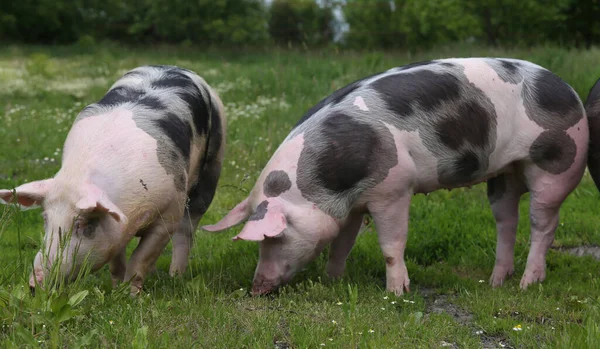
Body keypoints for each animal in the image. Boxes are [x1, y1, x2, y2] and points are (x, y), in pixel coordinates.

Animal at [0, 65, 225, 294]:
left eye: (84, 224)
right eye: (45, 218)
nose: (35, 283)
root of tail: (177, 68)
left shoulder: (170, 212)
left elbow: (141, 257)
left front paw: (131, 295)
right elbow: (117, 259)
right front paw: (117, 289)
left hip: (213, 163)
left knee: (186, 230)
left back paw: (175, 277)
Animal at [204, 58, 588, 294]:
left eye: (273, 238)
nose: (257, 288)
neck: (326, 187)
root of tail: (568, 88)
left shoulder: (394, 189)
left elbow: (392, 245)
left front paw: (397, 293)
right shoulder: (351, 205)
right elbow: (341, 244)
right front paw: (333, 281)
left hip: (557, 164)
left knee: (543, 225)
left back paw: (527, 284)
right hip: (504, 175)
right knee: (506, 220)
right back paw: (495, 282)